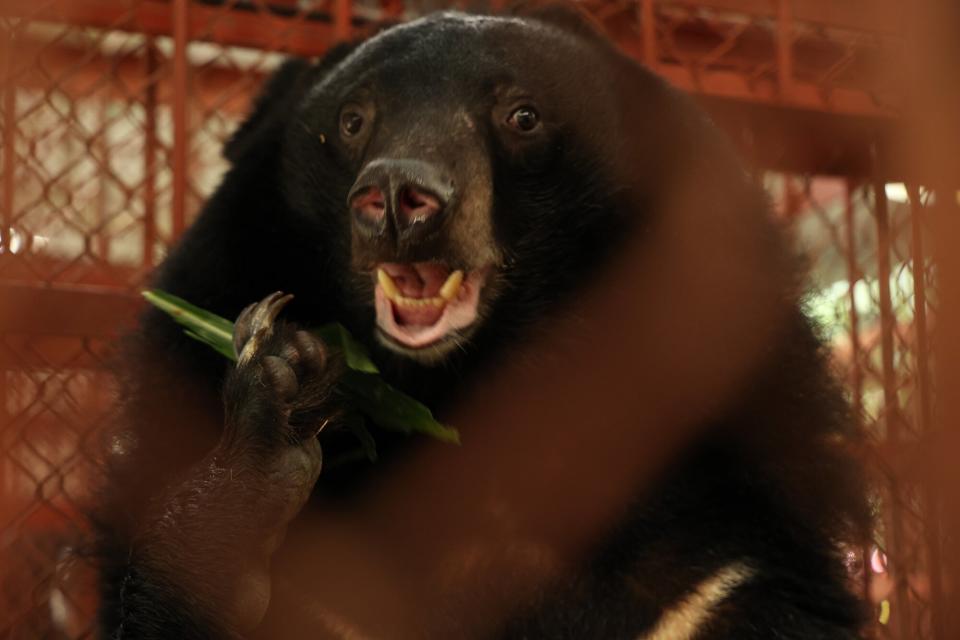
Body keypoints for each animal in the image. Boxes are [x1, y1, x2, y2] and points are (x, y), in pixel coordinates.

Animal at [94, 6, 872, 640]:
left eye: (522, 116)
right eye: (352, 120)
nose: (397, 198)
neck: (469, 386)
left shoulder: (720, 549)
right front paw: (276, 417)